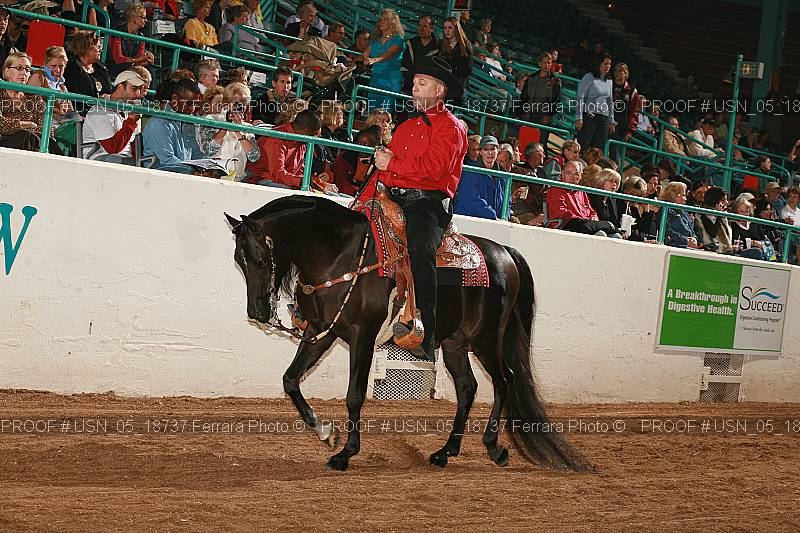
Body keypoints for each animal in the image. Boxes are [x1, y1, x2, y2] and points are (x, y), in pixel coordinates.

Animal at [226, 194, 591, 472]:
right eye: (239, 261)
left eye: (260, 259)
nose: (256, 313)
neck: (340, 255)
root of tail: (505, 254)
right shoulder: (322, 331)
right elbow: (290, 379)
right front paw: (325, 432)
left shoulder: (363, 336)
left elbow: (355, 394)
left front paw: (345, 453)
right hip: (455, 343)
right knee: (468, 388)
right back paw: (445, 452)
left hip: (486, 340)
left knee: (505, 381)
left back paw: (493, 447)